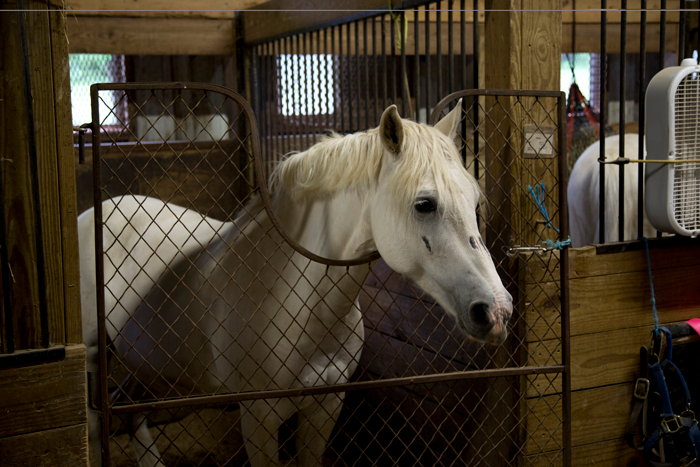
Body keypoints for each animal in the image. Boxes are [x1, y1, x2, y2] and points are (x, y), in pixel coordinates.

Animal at [79, 103, 514, 467]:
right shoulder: (258, 417)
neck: (295, 299)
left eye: (475, 201)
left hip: (147, 362)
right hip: (97, 357)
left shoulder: (325, 407)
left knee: (128, 407)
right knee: (98, 418)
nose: (496, 309)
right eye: (424, 204)